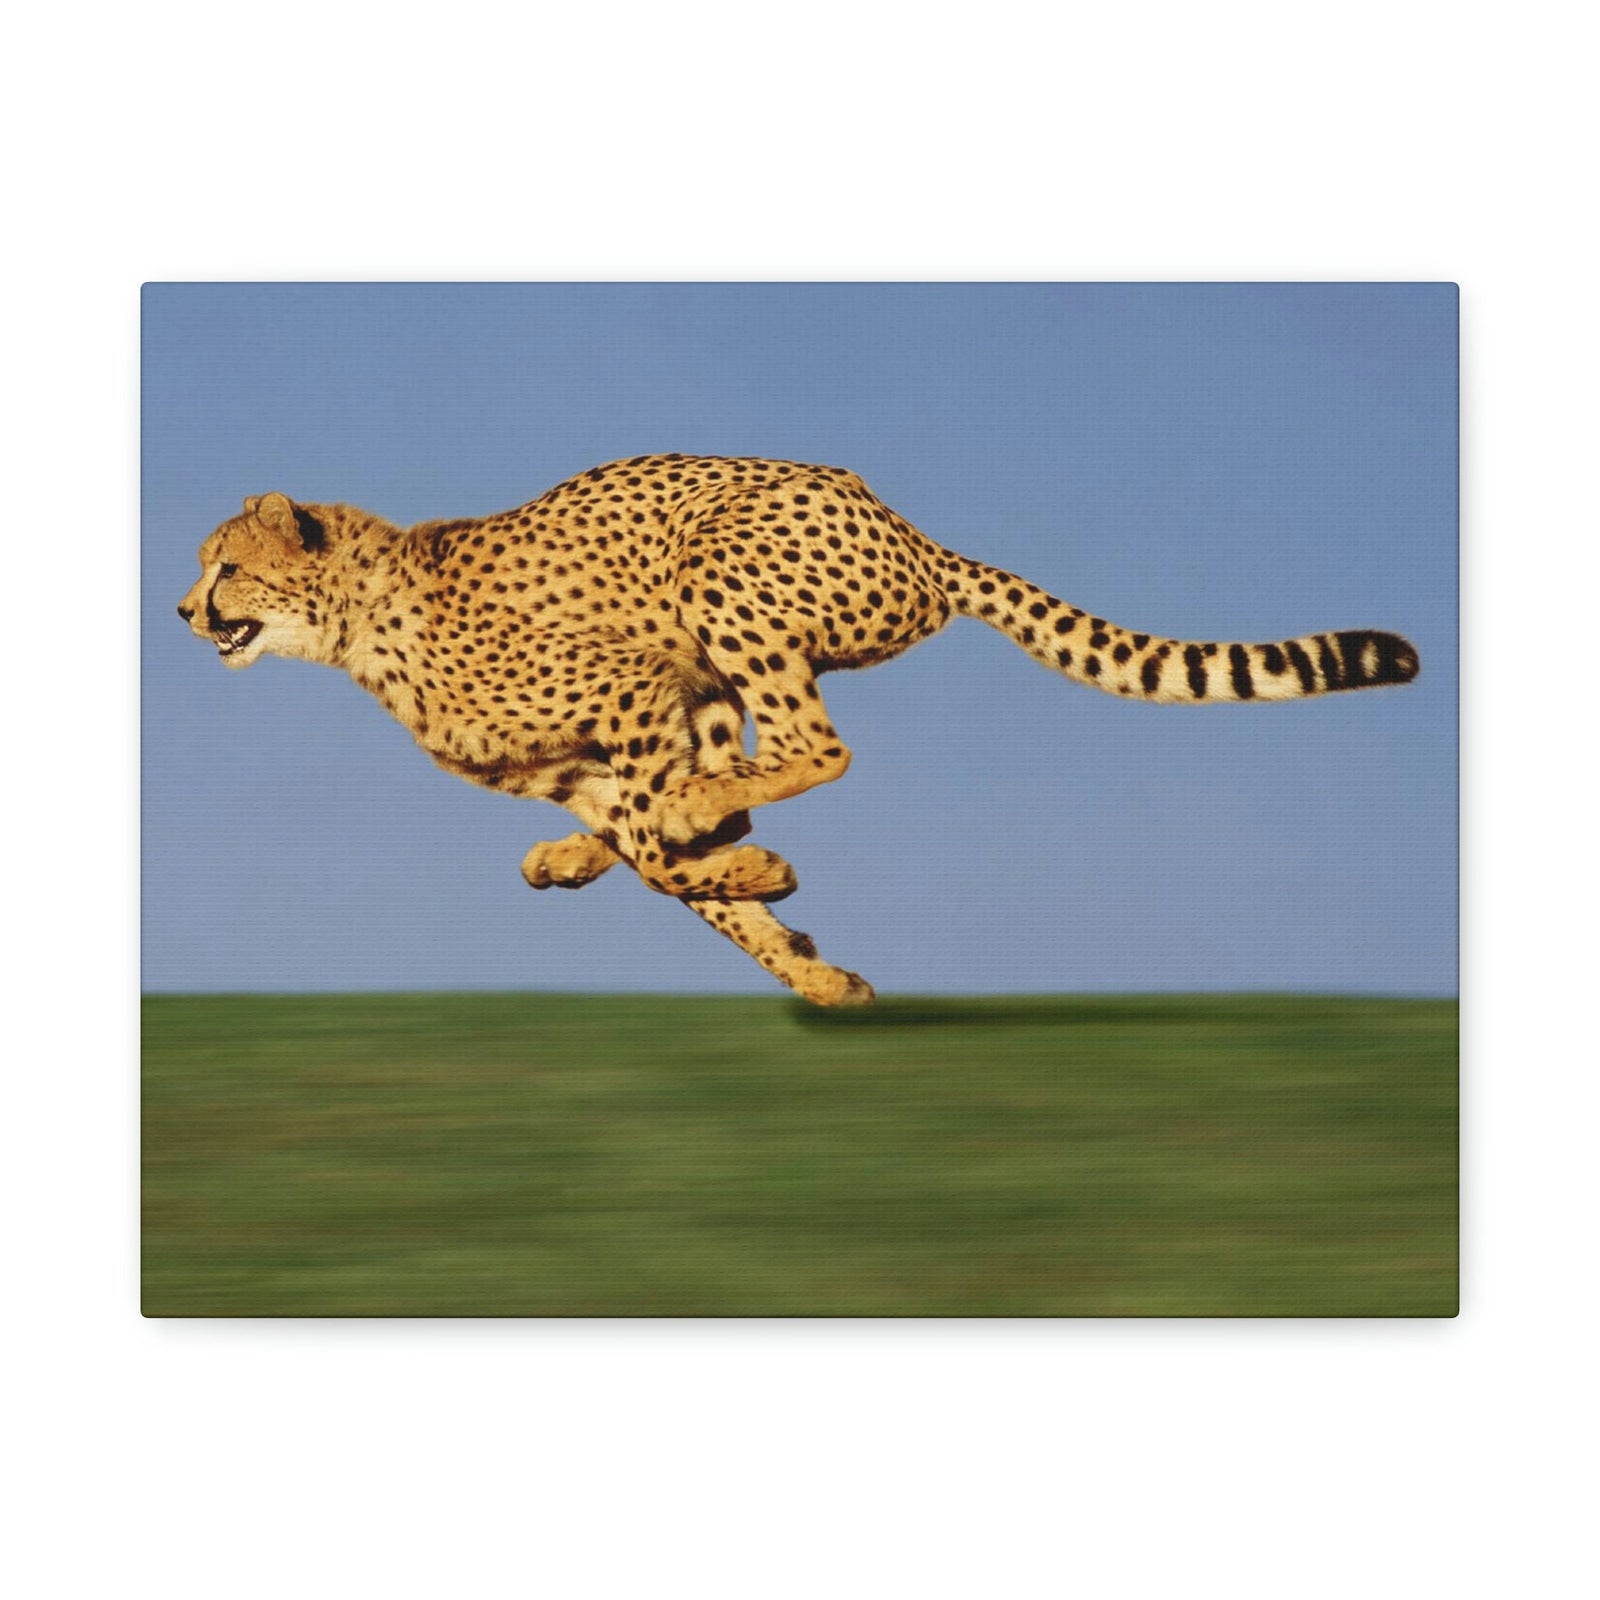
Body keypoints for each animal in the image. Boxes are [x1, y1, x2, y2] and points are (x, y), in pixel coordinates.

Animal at [179, 453, 1419, 1005]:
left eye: (224, 566)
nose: (183, 610)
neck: (360, 620)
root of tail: (910, 531)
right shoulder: (603, 750)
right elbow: (666, 865)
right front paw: (813, 967)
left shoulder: (632, 688)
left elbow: (667, 848)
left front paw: (765, 885)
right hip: (718, 667)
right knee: (749, 760)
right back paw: (584, 856)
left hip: (716, 574)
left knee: (816, 747)